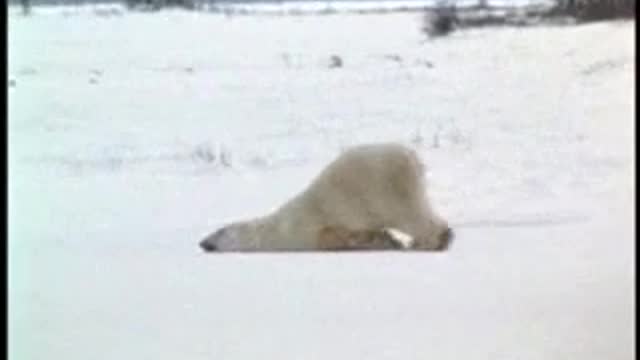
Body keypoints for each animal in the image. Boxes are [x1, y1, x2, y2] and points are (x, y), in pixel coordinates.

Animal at [198, 142, 452, 252]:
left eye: (219, 231)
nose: (202, 242)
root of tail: (411, 156)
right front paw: (387, 240)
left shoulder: (306, 231)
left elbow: (333, 235)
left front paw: (386, 241)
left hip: (383, 188)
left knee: (409, 215)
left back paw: (426, 242)